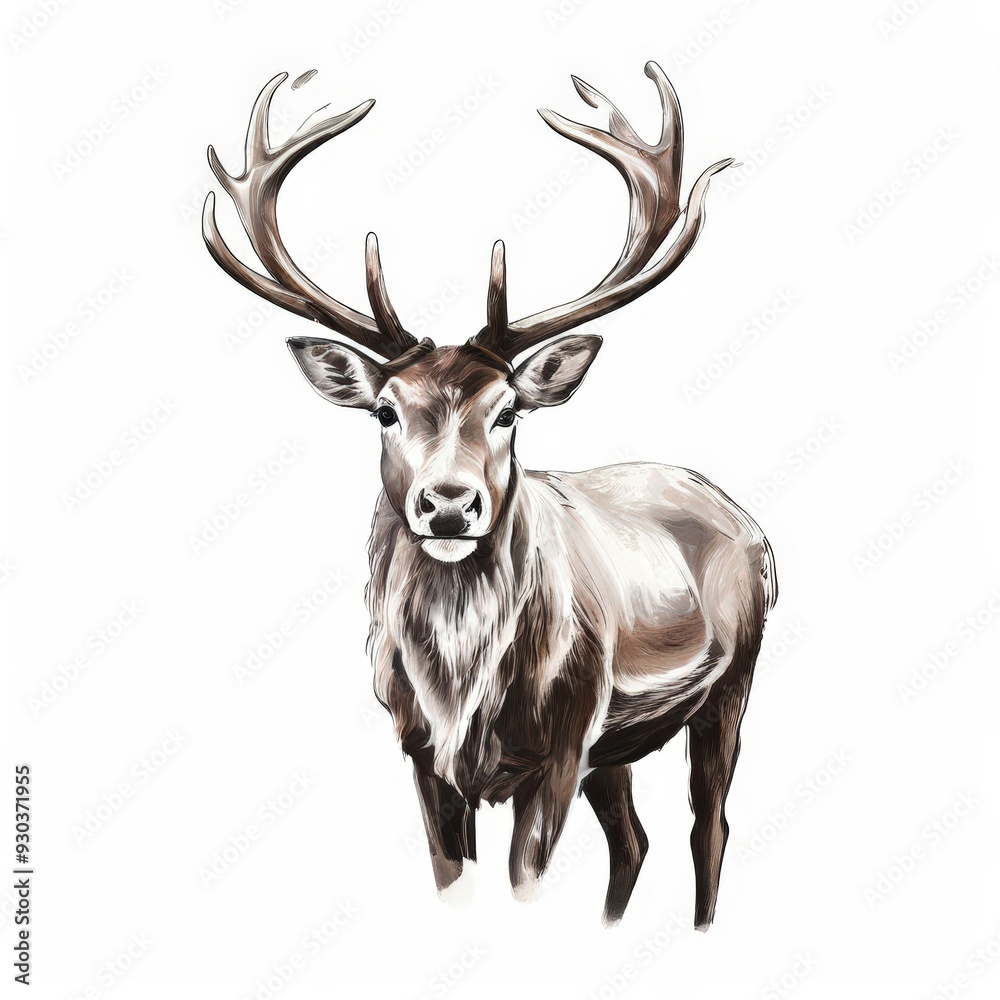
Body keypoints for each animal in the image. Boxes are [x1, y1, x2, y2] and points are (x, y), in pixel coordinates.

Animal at [202, 61, 777, 928]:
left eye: (508, 410)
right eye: (384, 409)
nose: (448, 504)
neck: (463, 696)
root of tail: (750, 526)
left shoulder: (565, 738)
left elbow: (525, 881)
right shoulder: (419, 750)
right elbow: (454, 881)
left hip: (733, 679)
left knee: (708, 825)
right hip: (618, 744)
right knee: (634, 838)